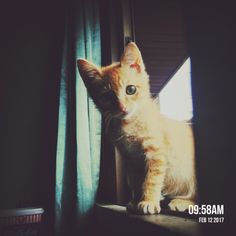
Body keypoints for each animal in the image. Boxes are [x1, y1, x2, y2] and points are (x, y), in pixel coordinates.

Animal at [77, 42, 195, 214]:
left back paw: (182, 202)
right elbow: (135, 181)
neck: (129, 123)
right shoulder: (130, 158)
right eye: (107, 97)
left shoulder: (156, 154)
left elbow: (151, 180)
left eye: (130, 89)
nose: (122, 107)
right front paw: (135, 201)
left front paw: (148, 201)